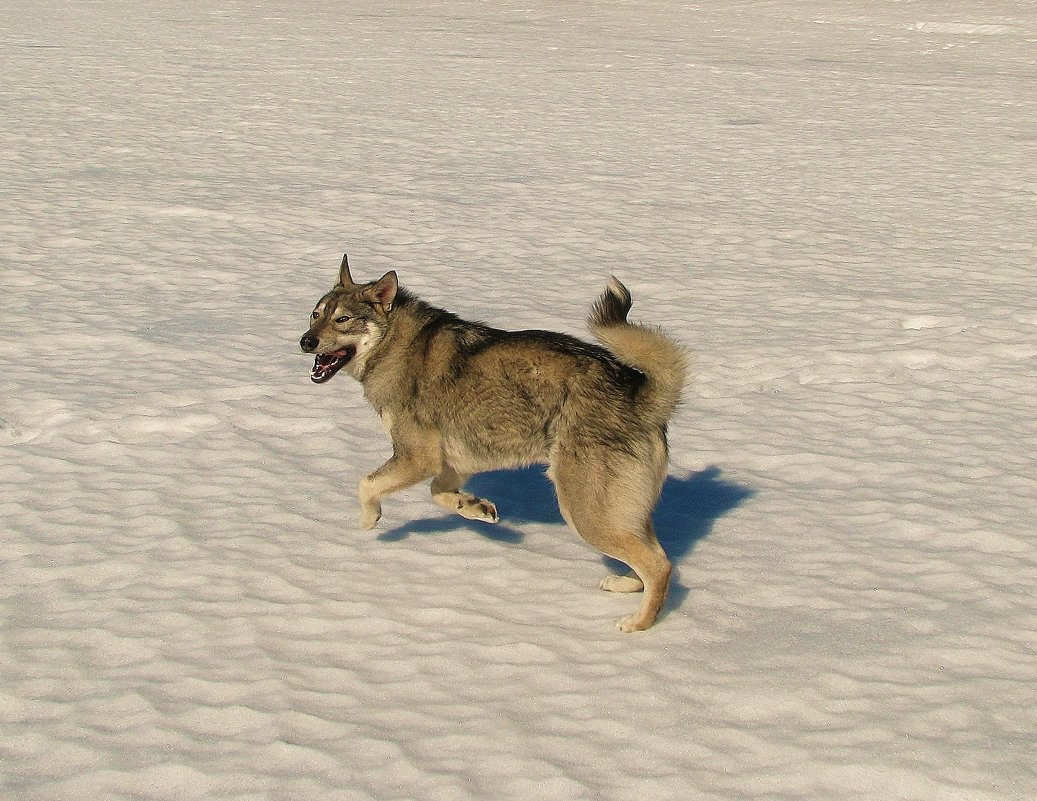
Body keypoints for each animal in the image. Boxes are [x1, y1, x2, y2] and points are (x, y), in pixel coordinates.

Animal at [300, 256, 688, 630]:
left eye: (343, 319)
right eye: (315, 315)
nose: (305, 342)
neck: (397, 345)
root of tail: (639, 394)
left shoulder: (418, 457)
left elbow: (365, 485)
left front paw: (369, 520)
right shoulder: (452, 463)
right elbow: (439, 493)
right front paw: (474, 507)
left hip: (585, 513)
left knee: (659, 567)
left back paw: (638, 623)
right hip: (617, 512)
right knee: (656, 557)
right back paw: (625, 585)